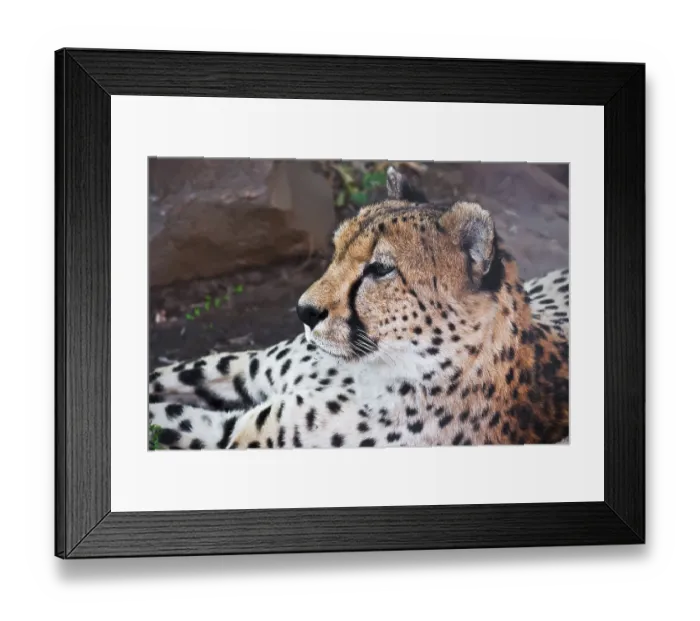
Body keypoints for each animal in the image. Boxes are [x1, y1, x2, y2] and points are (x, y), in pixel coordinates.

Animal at [148, 167, 570, 450]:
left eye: (379, 269)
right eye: (337, 248)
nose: (304, 311)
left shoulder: (238, 434)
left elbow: (160, 417)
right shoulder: (244, 370)